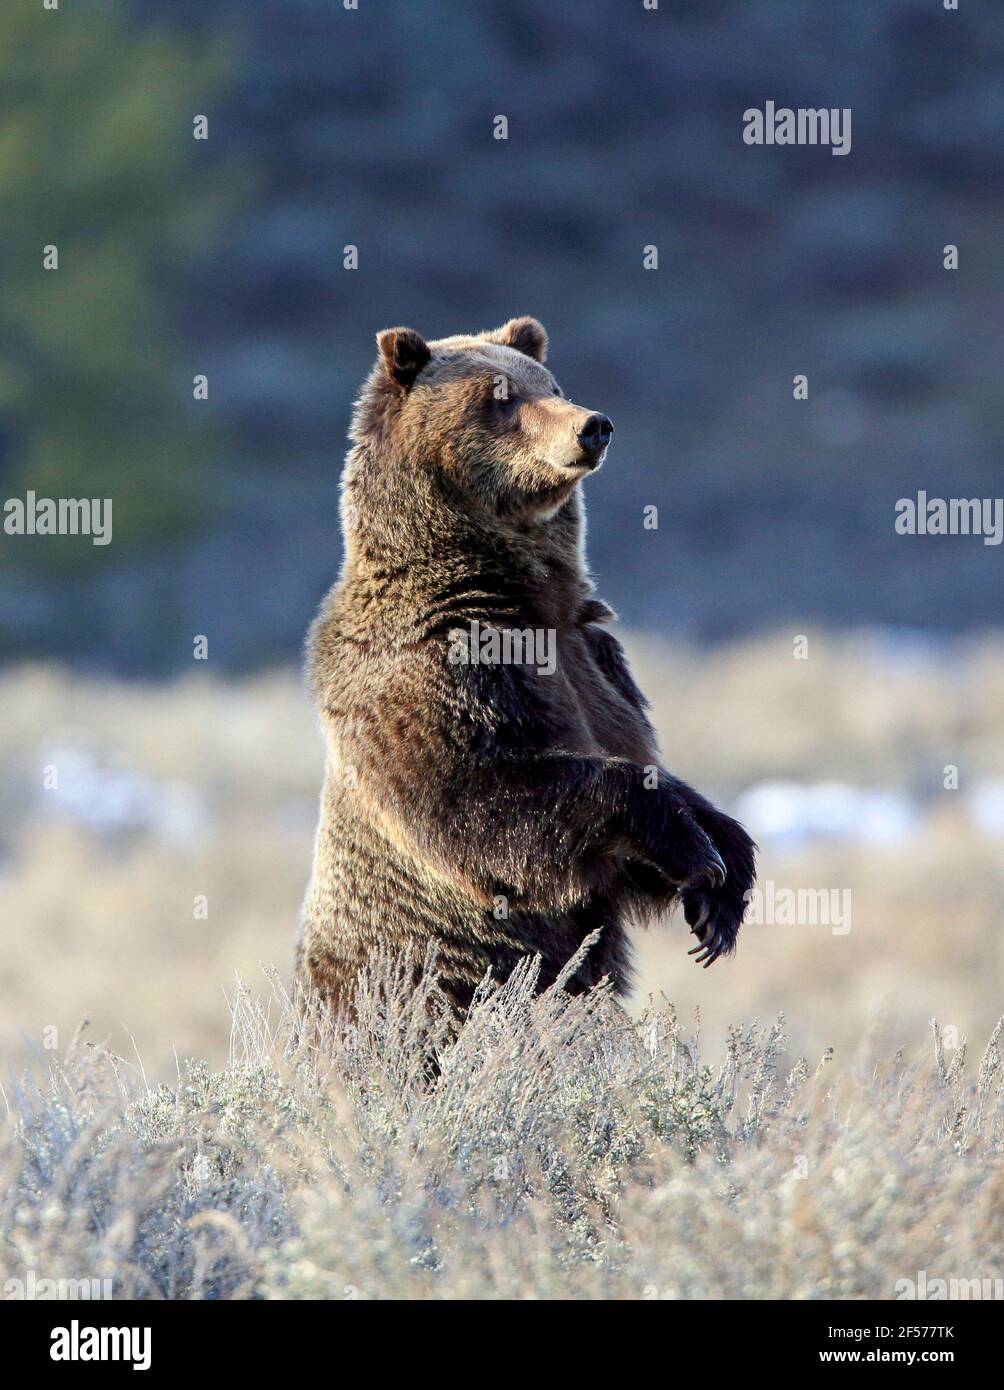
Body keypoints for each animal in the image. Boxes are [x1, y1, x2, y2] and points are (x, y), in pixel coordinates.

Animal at [295, 317, 756, 1016]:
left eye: (552, 384)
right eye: (500, 396)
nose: (593, 425)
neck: (521, 592)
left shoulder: (596, 662)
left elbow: (638, 760)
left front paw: (723, 879)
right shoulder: (441, 667)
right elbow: (483, 797)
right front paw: (692, 848)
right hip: (422, 982)